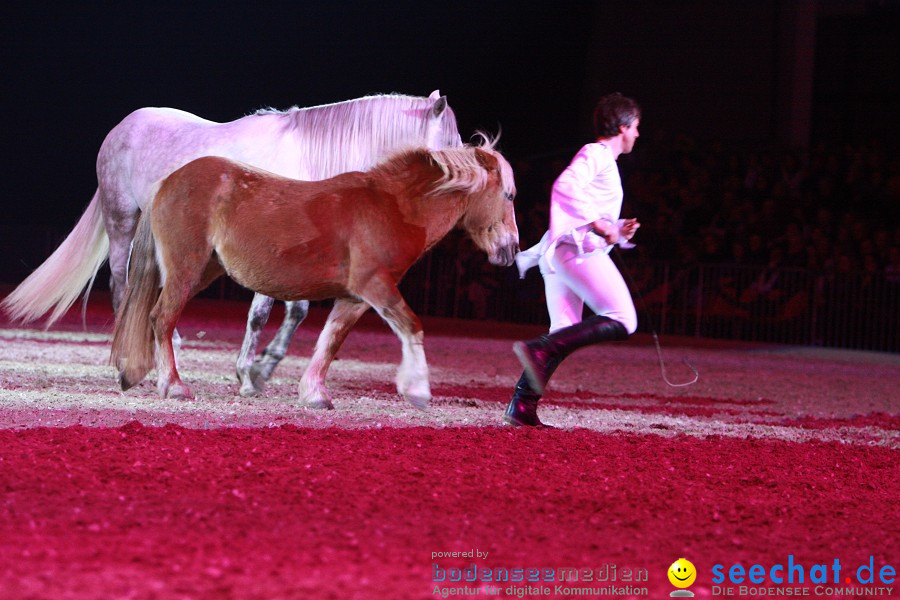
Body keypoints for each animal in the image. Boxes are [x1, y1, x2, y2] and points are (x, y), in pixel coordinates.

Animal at [0, 91, 460, 396]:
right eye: (453, 144)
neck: (310, 158)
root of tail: (122, 127)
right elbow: (261, 314)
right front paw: (247, 373)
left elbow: (296, 311)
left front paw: (261, 370)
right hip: (121, 221)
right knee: (121, 287)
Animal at [110, 139, 520, 408]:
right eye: (510, 195)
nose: (510, 250)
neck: (391, 207)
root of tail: (168, 181)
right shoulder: (375, 286)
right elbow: (411, 326)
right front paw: (418, 391)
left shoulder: (354, 298)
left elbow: (330, 341)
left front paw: (314, 394)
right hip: (186, 268)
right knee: (161, 319)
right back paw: (173, 386)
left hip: (202, 269)